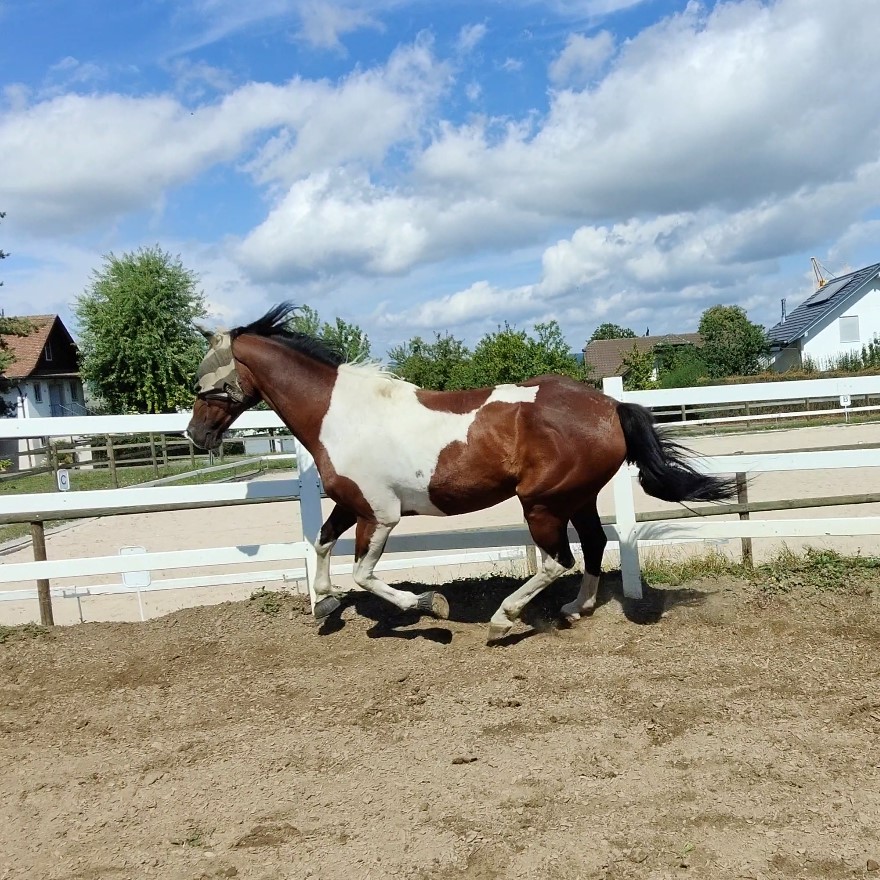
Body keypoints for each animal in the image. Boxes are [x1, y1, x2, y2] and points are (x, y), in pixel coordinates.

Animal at [187, 306, 736, 644]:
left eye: (203, 382)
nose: (196, 435)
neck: (341, 413)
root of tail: (610, 405)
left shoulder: (380, 514)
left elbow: (364, 573)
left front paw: (430, 606)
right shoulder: (352, 502)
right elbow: (321, 543)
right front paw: (324, 603)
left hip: (541, 503)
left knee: (556, 561)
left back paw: (502, 621)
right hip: (575, 498)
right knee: (595, 546)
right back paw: (575, 609)